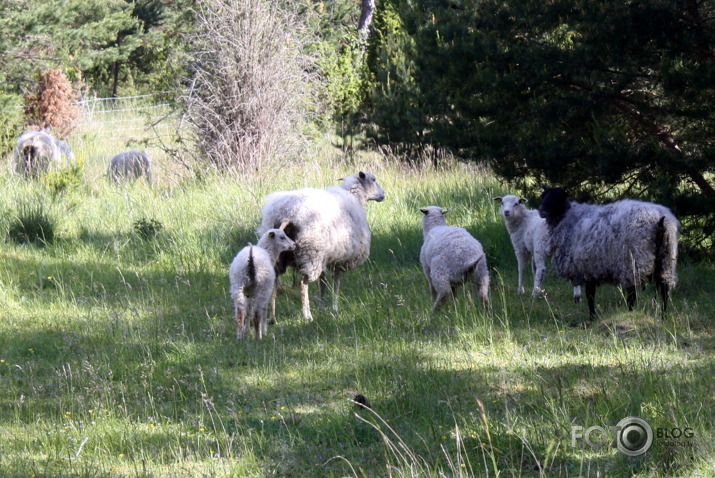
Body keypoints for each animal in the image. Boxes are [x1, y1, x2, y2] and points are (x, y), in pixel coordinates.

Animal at [258, 171, 386, 322]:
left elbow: (323, 281)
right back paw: (307, 315)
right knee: (303, 283)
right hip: (311, 252)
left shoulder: (326, 257)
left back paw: (271, 317)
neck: (356, 198)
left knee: (275, 281)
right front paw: (335, 307)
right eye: (373, 179)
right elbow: (336, 282)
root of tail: (287, 212)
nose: (383, 195)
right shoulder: (340, 260)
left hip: (280, 255)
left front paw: (322, 306)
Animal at [540, 186, 680, 318]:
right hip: (666, 259)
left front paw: (592, 317)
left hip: (633, 261)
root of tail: (660, 219)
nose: (541, 211)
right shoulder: (591, 268)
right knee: (664, 290)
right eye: (543, 195)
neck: (566, 218)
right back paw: (663, 316)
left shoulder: (587, 267)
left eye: (558, 197)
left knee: (632, 294)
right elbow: (590, 293)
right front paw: (592, 316)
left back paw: (630, 313)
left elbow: (590, 295)